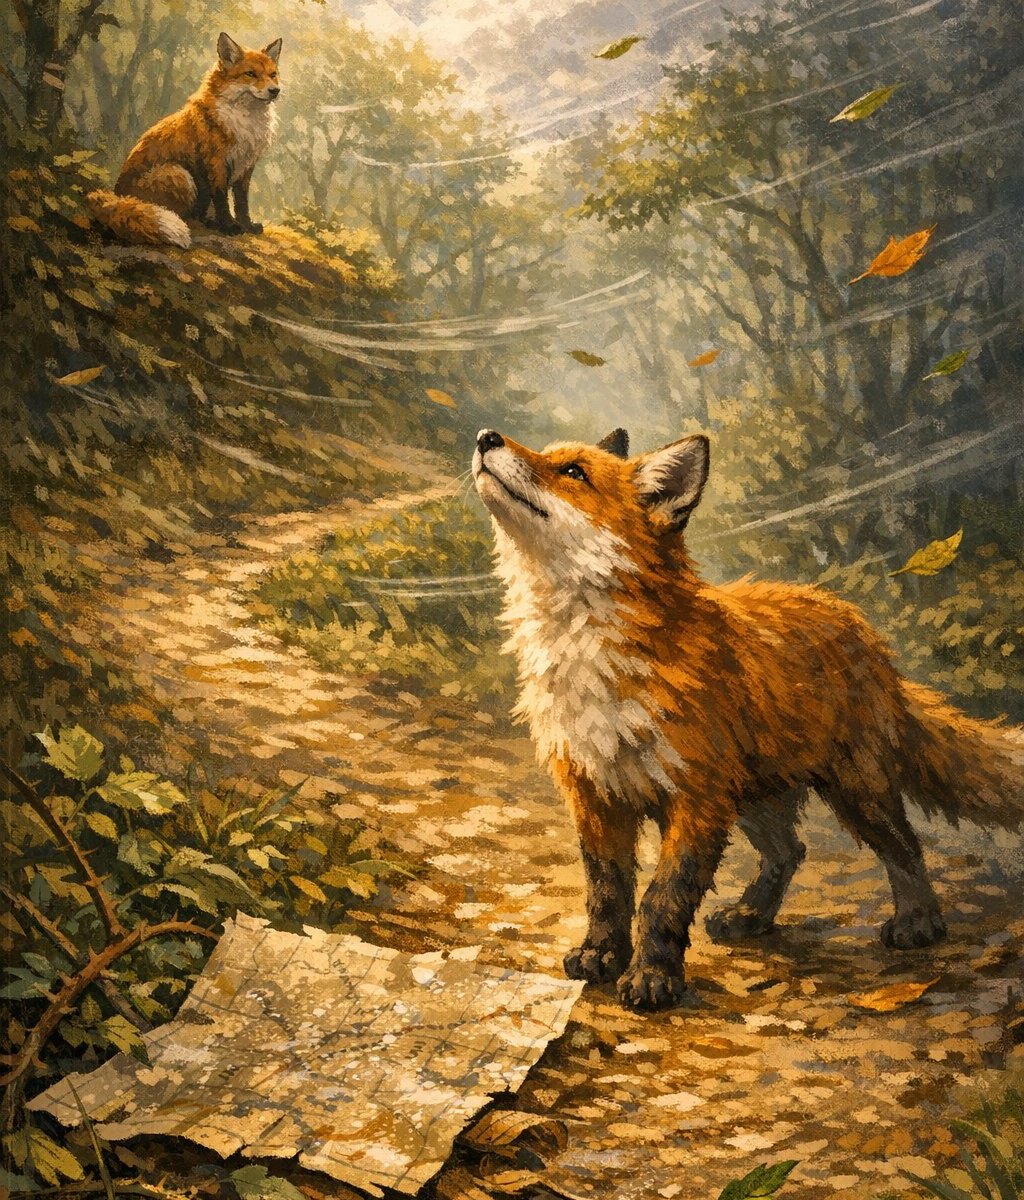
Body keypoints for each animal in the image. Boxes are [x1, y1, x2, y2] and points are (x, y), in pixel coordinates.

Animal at [87, 33, 282, 250]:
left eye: (272, 74)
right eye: (250, 74)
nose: (275, 90)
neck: (243, 120)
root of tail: (119, 196)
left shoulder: (245, 166)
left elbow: (241, 203)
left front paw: (246, 225)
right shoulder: (216, 163)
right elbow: (222, 199)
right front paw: (229, 226)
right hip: (180, 175)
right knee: (185, 216)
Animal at [472, 426, 1023, 1012]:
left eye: (573, 472)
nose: (486, 437)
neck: (592, 656)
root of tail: (867, 632)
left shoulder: (695, 798)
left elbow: (662, 898)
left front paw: (653, 977)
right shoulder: (595, 794)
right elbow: (607, 892)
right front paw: (601, 954)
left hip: (854, 791)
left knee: (904, 847)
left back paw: (919, 922)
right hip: (753, 798)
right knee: (790, 852)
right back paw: (753, 916)